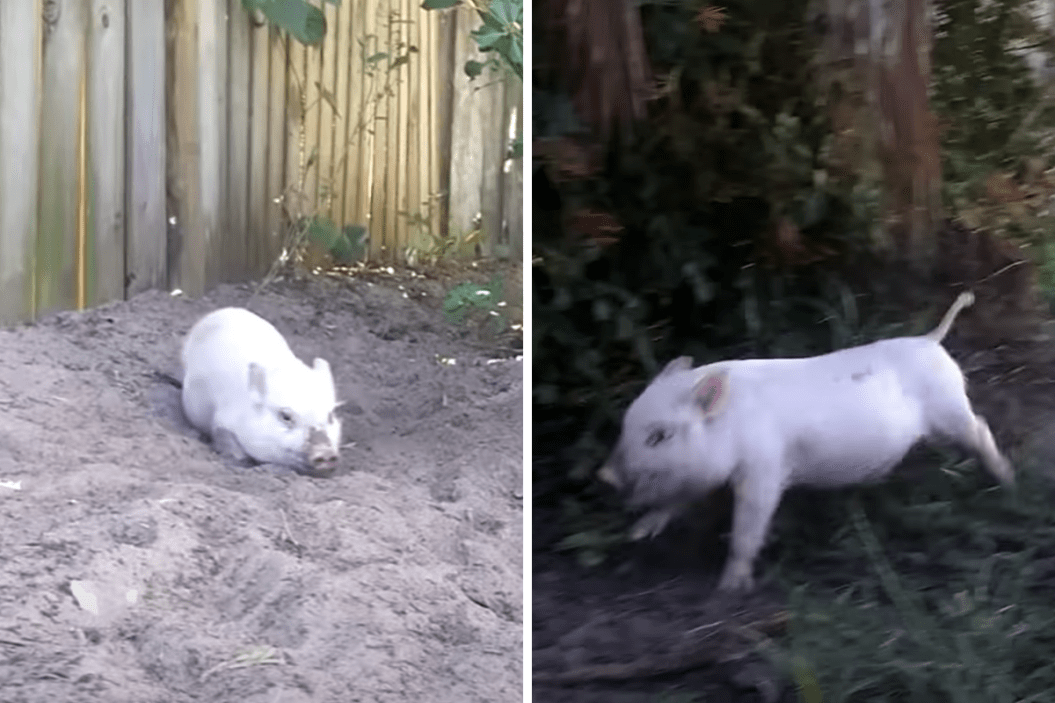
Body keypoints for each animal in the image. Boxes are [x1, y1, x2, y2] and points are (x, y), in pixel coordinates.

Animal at [599, 291, 1013, 592]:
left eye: (659, 436)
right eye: (626, 424)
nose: (605, 476)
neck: (733, 424)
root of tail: (931, 340)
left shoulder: (764, 471)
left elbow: (748, 527)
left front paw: (729, 589)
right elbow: (676, 501)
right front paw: (636, 534)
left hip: (950, 410)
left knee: (980, 426)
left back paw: (1006, 479)